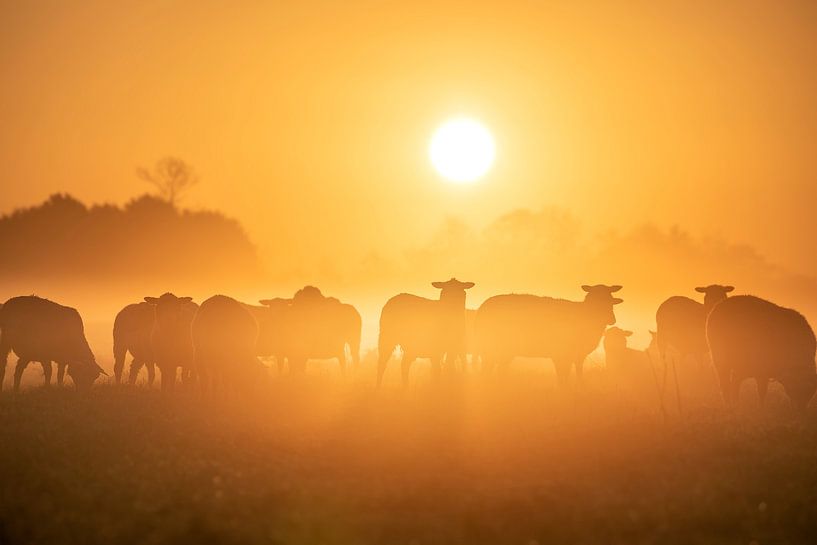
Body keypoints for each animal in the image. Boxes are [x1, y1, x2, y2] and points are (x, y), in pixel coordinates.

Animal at [474, 284, 620, 382]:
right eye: (597, 300)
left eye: (611, 300)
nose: (612, 319)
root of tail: (482, 308)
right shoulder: (561, 355)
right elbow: (563, 378)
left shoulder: (577, 356)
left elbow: (577, 374)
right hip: (490, 348)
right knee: (486, 370)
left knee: (497, 370)